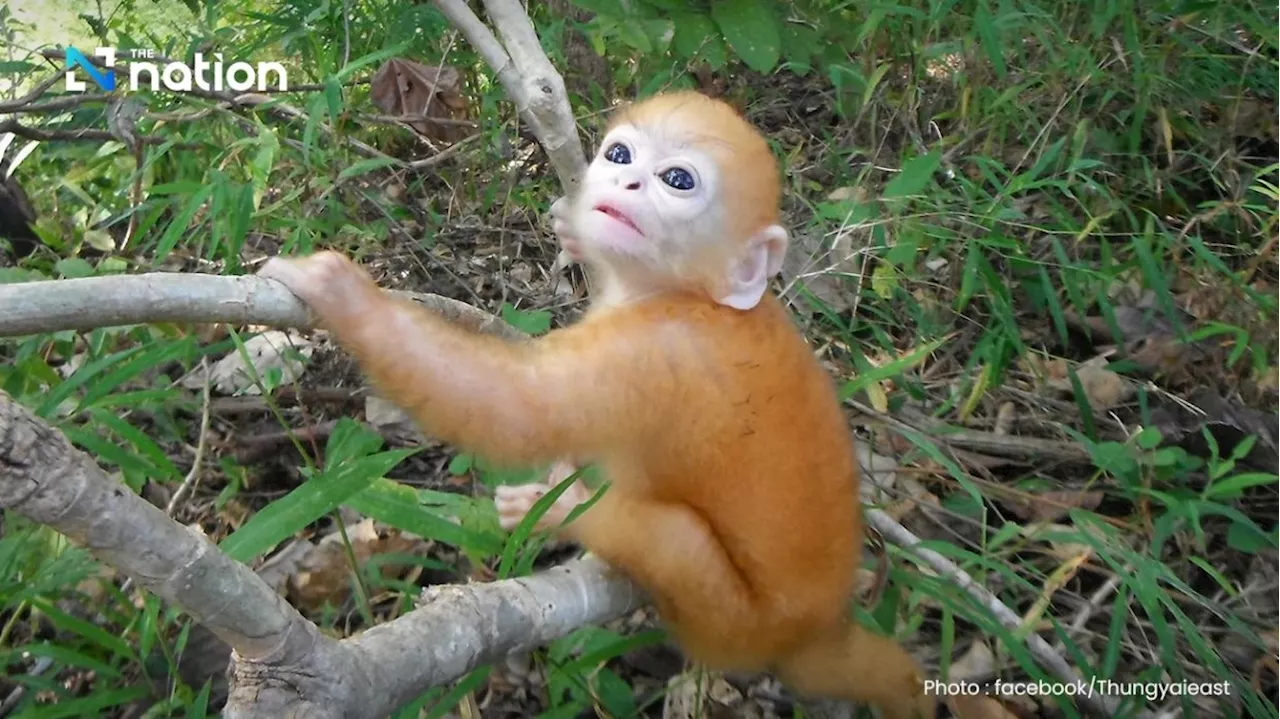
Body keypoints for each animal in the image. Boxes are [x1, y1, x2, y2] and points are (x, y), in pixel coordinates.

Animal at [259, 89, 936, 716]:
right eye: (620, 155)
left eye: (677, 180)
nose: (625, 181)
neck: (695, 297)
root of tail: (825, 626)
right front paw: (575, 229)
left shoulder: (653, 351)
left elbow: (520, 410)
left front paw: (350, 301)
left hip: (740, 628)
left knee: (677, 541)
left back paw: (566, 513)